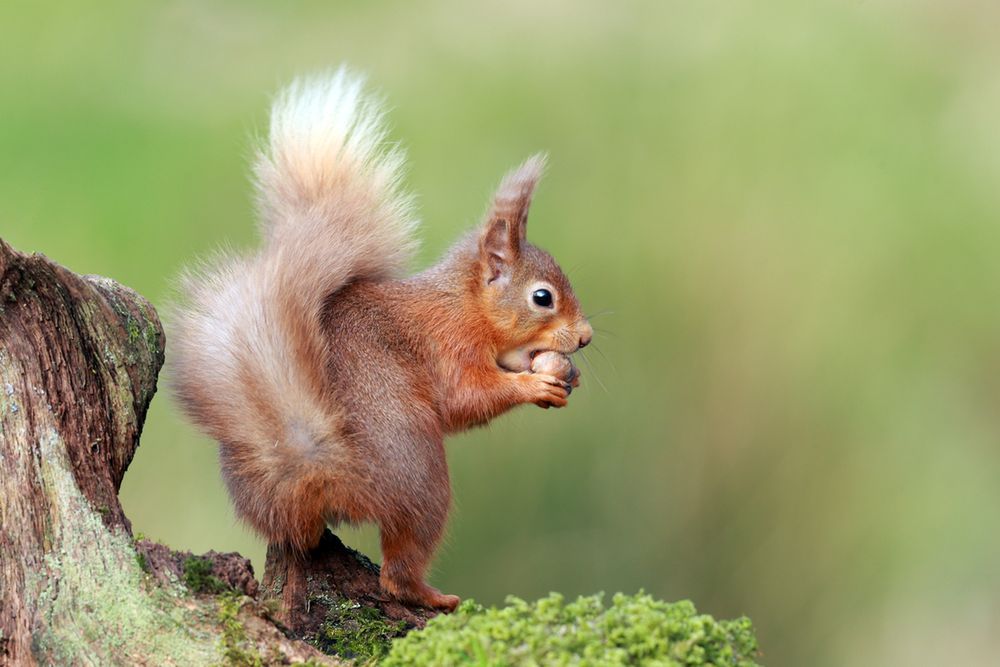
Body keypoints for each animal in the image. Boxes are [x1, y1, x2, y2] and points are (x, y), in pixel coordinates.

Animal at [170, 70, 592, 612]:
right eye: (542, 298)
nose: (585, 337)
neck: (463, 306)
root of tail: (323, 470)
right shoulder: (447, 347)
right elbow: (466, 398)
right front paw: (533, 386)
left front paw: (563, 378)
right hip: (422, 480)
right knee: (397, 571)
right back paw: (434, 597)